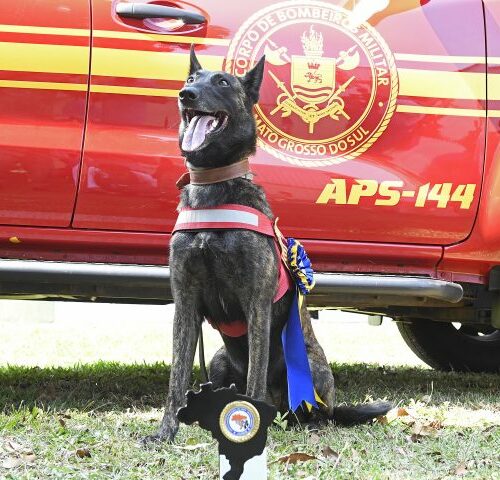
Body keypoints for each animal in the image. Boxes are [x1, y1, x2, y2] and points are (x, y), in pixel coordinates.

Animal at [145, 47, 390, 442]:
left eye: (222, 82)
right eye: (190, 80)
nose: (186, 95)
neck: (215, 189)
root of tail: (285, 409)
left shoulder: (256, 303)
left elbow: (254, 380)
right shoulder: (185, 304)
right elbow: (176, 378)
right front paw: (165, 432)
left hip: (311, 366)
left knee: (320, 411)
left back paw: (311, 423)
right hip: (218, 359)